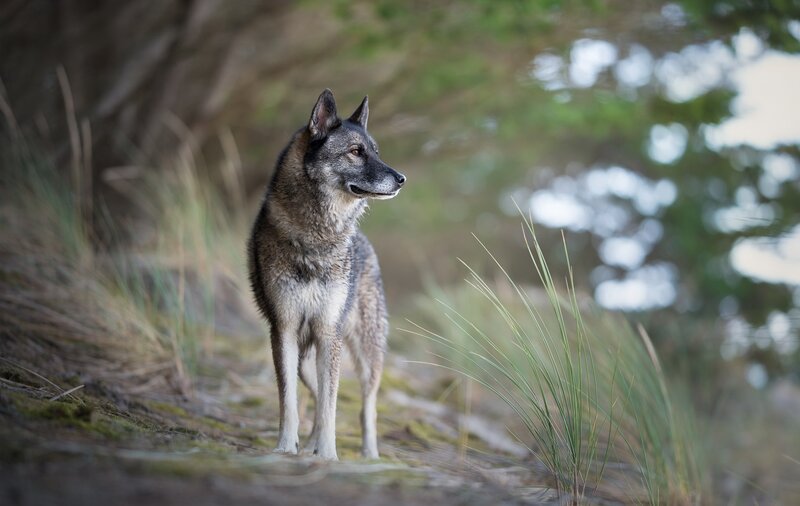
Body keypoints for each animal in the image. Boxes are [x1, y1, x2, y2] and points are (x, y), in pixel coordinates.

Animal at [248, 89, 405, 460]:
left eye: (375, 151)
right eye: (356, 152)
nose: (402, 179)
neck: (316, 237)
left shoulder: (327, 332)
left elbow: (332, 407)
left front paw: (329, 455)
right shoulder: (284, 329)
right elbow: (289, 401)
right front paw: (285, 447)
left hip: (365, 353)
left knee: (365, 406)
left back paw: (368, 455)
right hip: (308, 359)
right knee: (316, 395)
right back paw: (309, 445)